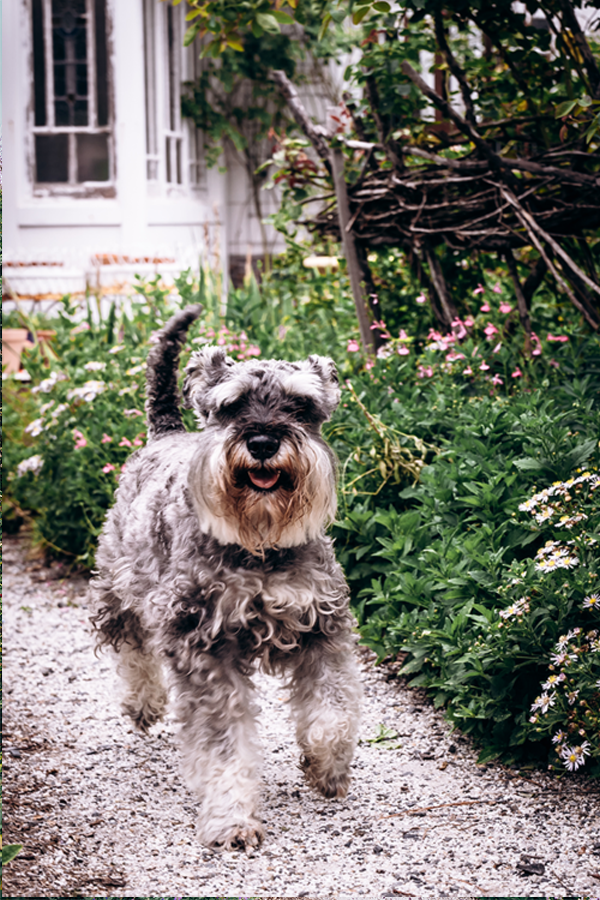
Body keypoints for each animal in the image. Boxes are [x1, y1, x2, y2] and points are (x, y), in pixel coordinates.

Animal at [89, 308, 360, 852]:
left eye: (302, 405)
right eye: (231, 405)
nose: (263, 442)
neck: (259, 544)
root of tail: (165, 432)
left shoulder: (323, 628)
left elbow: (333, 712)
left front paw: (327, 768)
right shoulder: (204, 648)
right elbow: (223, 747)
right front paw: (232, 821)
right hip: (120, 583)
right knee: (130, 645)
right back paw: (142, 703)